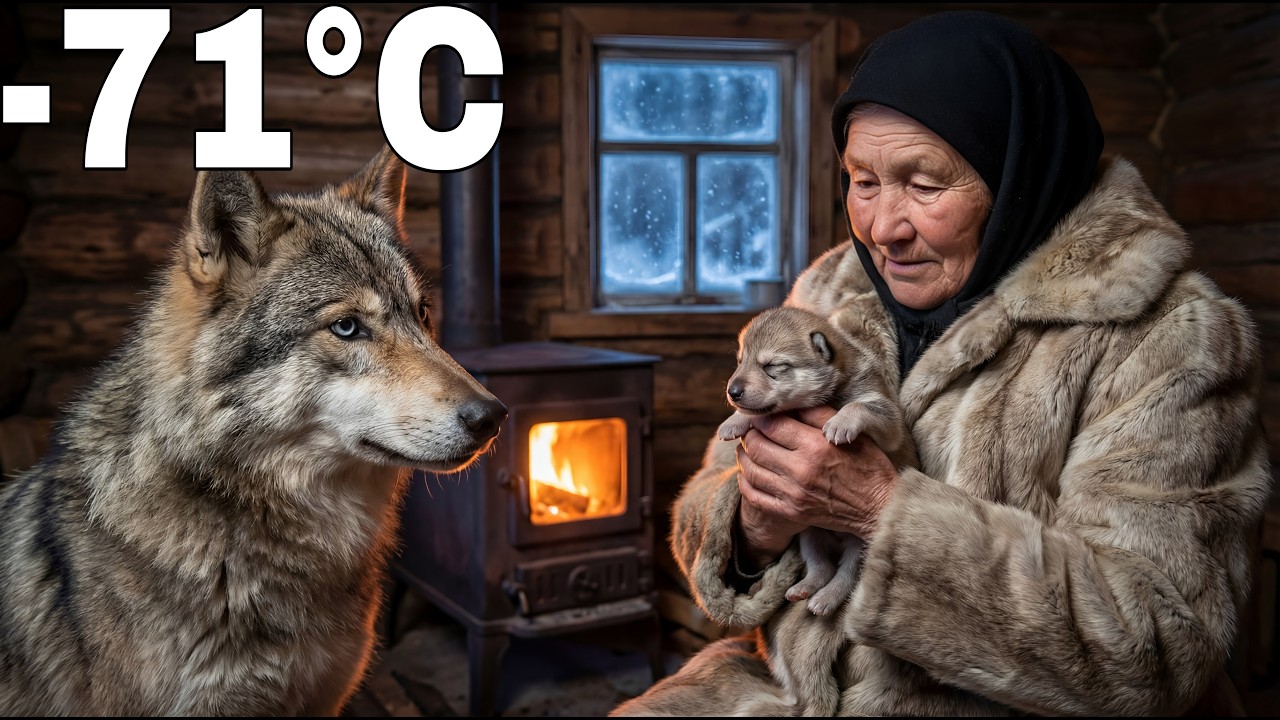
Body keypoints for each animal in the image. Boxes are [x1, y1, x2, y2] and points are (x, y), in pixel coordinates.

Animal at [718, 304, 916, 617]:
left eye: (772, 366)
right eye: (740, 362)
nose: (732, 391)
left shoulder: (887, 419)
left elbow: (859, 406)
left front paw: (840, 423)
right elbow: (753, 413)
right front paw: (733, 421)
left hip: (860, 544)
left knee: (846, 575)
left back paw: (826, 599)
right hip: (809, 534)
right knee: (820, 566)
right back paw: (804, 588)